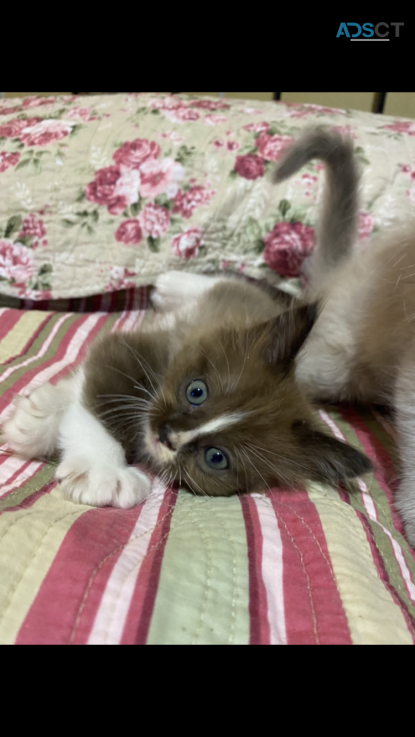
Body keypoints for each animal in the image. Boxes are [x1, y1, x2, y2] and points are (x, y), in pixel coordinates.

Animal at [1, 129, 372, 508]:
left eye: (216, 457)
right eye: (196, 391)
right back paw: (170, 285)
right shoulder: (134, 349)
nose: (168, 435)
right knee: (227, 282)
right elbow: (98, 401)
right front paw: (103, 470)